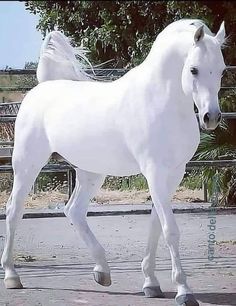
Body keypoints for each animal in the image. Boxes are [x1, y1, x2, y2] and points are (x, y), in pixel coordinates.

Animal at [0, 19, 225, 306]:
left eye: (221, 70)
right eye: (194, 69)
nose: (211, 117)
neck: (161, 102)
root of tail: (42, 87)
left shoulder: (172, 174)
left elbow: (155, 225)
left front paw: (151, 283)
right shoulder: (155, 172)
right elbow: (170, 230)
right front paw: (184, 291)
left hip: (91, 173)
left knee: (74, 211)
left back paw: (102, 272)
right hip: (28, 164)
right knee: (14, 210)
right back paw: (12, 276)